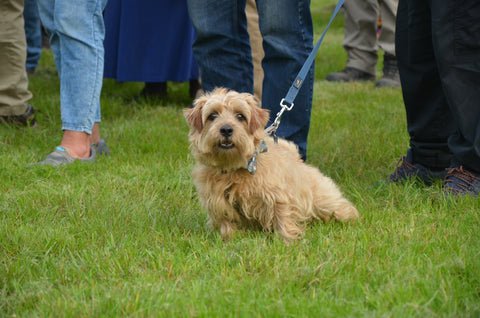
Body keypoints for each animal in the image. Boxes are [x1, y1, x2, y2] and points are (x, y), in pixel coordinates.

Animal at [186, 87, 358, 241]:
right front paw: (230, 239)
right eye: (212, 115)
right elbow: (226, 222)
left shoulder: (277, 196)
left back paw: (352, 219)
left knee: (340, 207)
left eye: (240, 116)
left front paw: (288, 241)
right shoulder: (217, 202)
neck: (233, 169)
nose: (226, 129)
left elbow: (282, 218)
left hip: (324, 201)